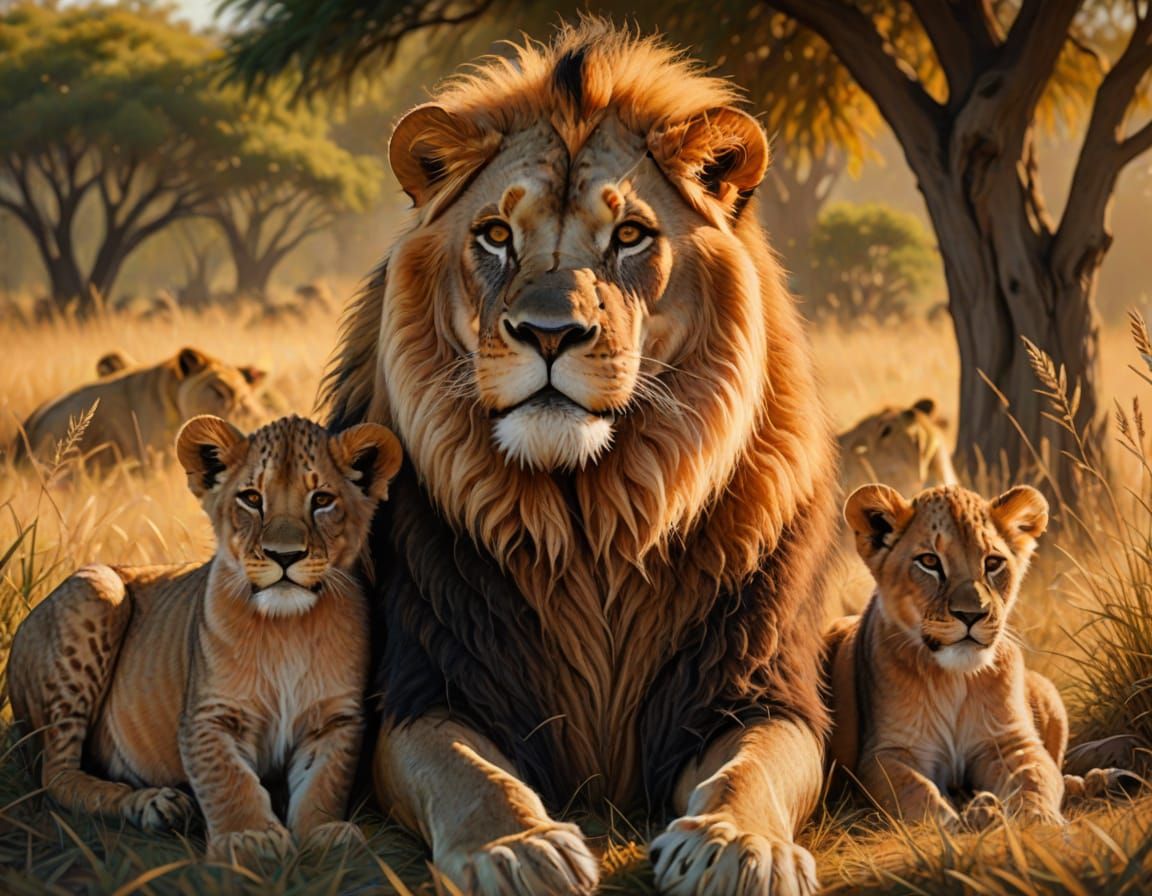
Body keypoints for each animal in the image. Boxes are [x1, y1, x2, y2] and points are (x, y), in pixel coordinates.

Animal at [6, 415, 402, 862]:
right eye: (252, 498)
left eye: (321, 500)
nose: (284, 556)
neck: (287, 629)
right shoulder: (208, 715)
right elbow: (228, 779)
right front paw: (249, 837)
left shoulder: (336, 719)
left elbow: (324, 781)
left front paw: (324, 834)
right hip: (96, 588)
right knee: (57, 776)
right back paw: (156, 805)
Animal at [322, 20, 838, 896]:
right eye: (496, 235)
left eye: (629, 236)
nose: (550, 333)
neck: (591, 519)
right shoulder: (428, 684)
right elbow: (468, 773)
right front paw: (516, 849)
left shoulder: (756, 686)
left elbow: (754, 769)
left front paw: (737, 847)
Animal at [825, 483, 1135, 829]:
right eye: (929, 561)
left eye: (993, 563)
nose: (971, 614)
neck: (954, 680)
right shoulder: (888, 751)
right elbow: (914, 791)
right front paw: (953, 825)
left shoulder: (1011, 741)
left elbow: (1035, 777)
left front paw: (1038, 822)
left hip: (1047, 693)